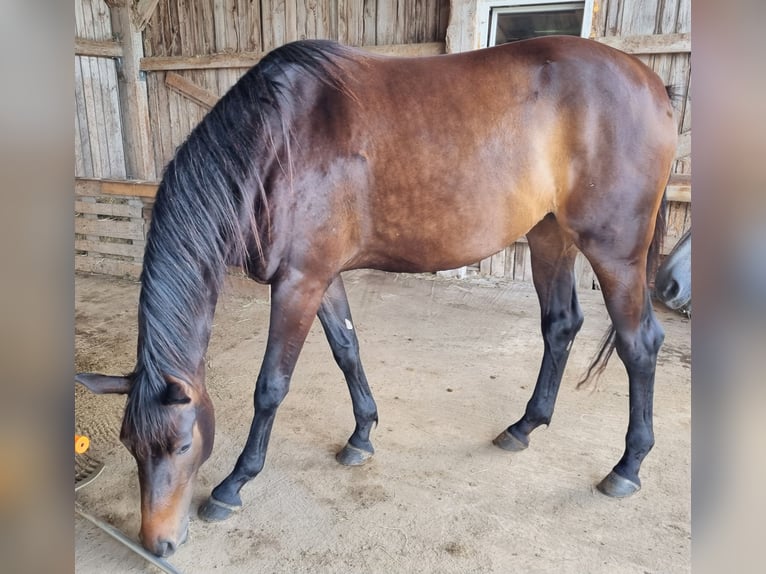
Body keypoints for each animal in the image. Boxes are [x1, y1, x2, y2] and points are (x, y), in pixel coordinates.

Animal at [76, 37, 680, 560]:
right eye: (129, 444)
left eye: (181, 447)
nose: (159, 543)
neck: (275, 144)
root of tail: (651, 82)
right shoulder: (321, 279)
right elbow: (348, 351)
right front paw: (361, 435)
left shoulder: (298, 283)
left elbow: (271, 387)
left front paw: (234, 483)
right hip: (550, 234)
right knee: (560, 324)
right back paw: (524, 427)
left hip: (614, 252)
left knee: (639, 344)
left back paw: (627, 467)